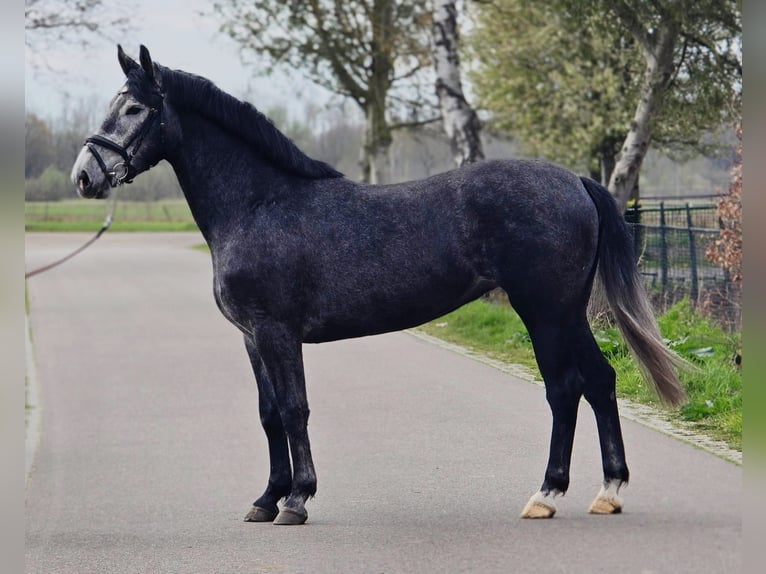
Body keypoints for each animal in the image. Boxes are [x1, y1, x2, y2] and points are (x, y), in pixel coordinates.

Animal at [71, 45, 686, 525]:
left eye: (134, 108)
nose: (84, 175)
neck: (259, 205)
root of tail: (575, 181)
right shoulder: (251, 338)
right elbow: (269, 415)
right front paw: (266, 499)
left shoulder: (277, 332)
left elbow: (294, 409)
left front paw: (297, 499)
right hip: (569, 311)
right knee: (600, 381)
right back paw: (607, 491)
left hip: (546, 312)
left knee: (564, 389)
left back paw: (546, 494)